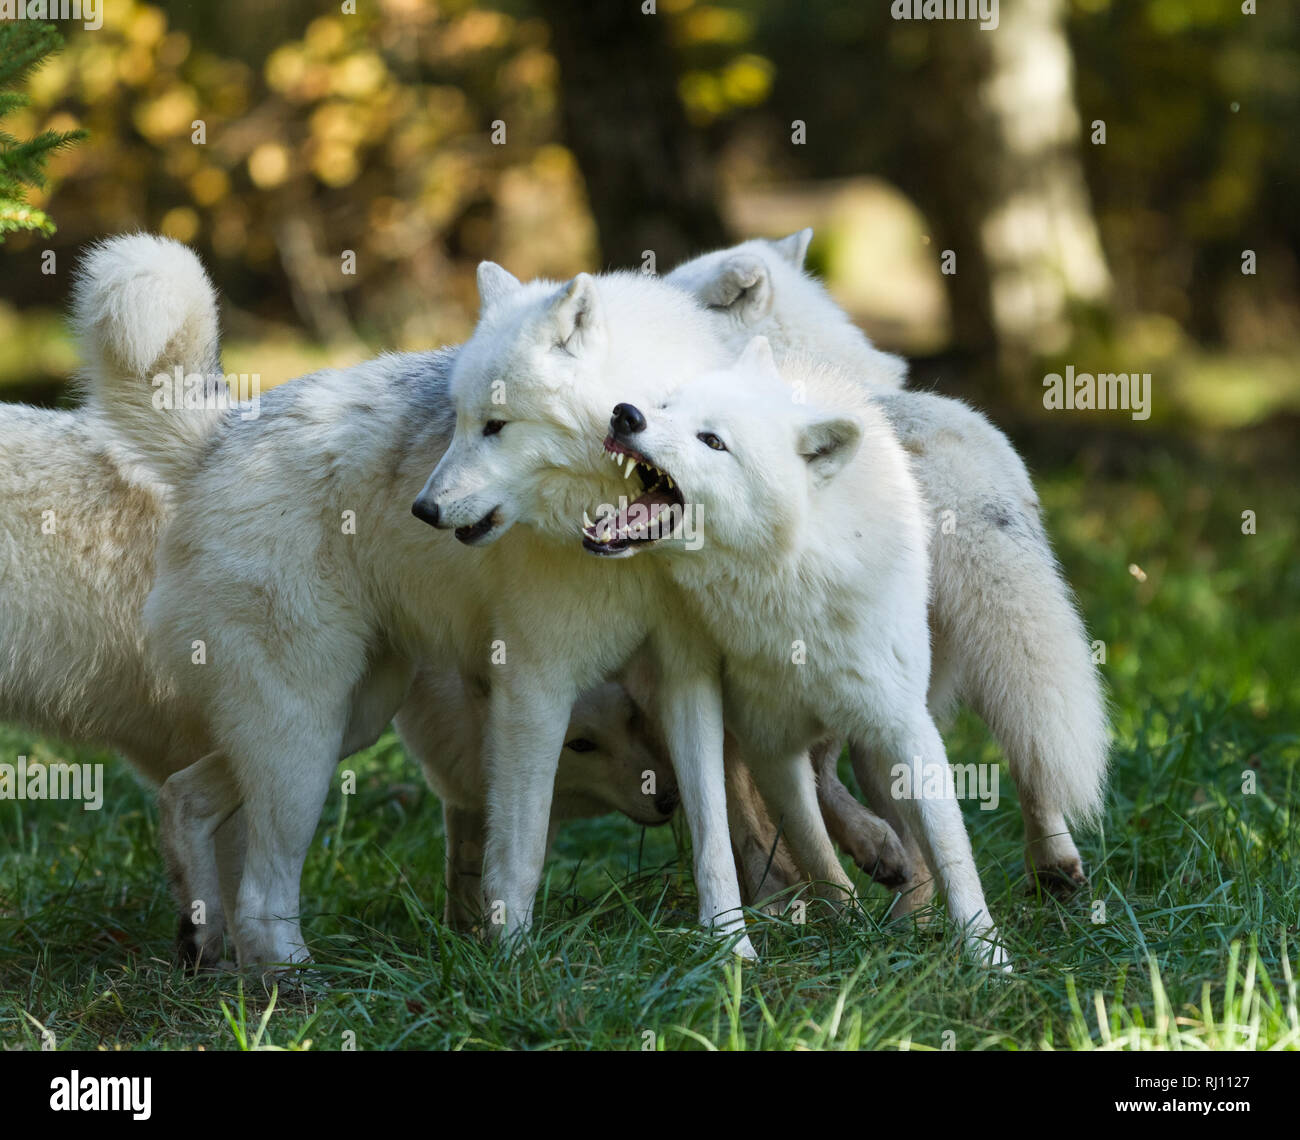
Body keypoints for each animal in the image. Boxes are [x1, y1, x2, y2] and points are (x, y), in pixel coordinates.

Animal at [7, 235, 681, 967]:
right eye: (464, 424)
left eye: (496, 426)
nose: (424, 510)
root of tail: (220, 434)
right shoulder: (535, 688)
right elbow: (519, 856)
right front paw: (514, 963)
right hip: (305, 743)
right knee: (261, 893)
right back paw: (293, 978)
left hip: (348, 721)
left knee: (184, 799)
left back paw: (204, 946)